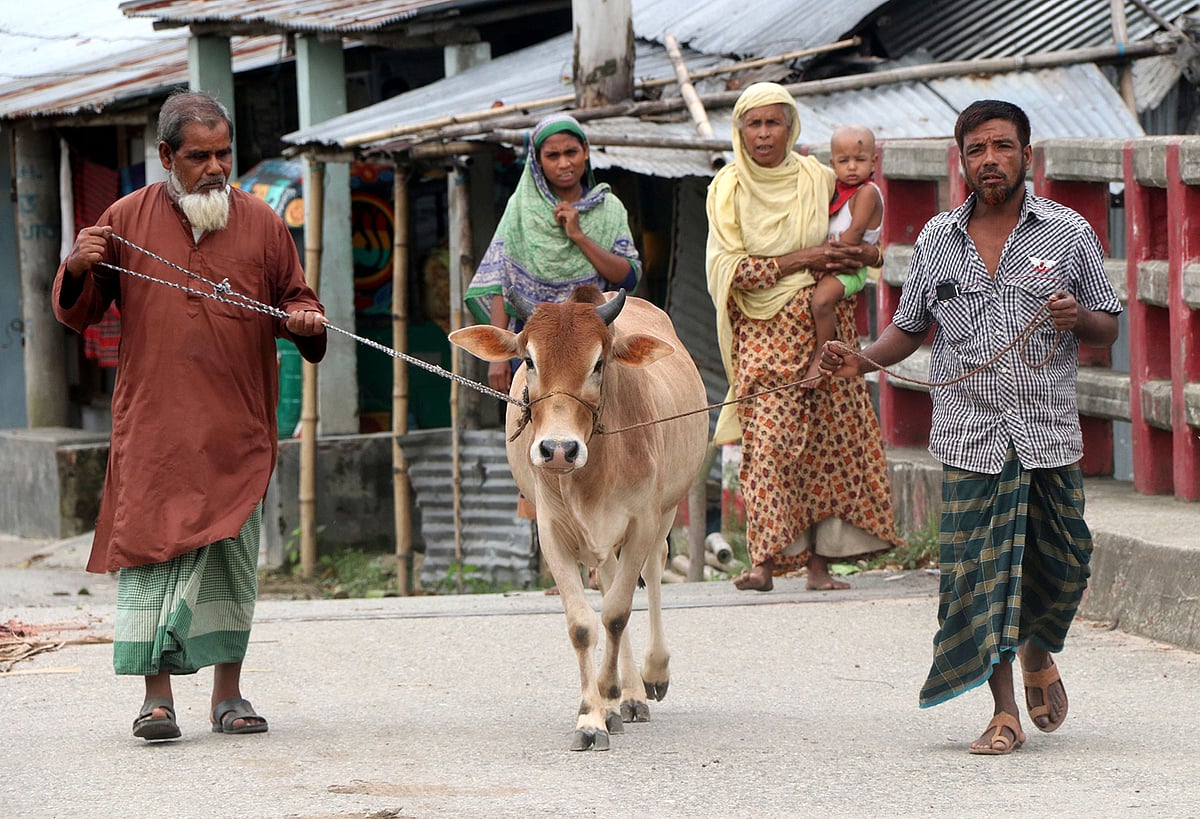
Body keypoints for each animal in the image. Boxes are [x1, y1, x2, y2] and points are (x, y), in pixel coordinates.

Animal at [449, 285, 709, 751]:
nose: (557, 450)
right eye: (529, 360)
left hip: (665, 511)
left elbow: (617, 614)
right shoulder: (553, 531)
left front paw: (609, 694)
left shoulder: (643, 522)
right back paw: (626, 697)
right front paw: (593, 716)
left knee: (653, 572)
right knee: (607, 582)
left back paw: (650, 677)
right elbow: (584, 624)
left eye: (599, 363)